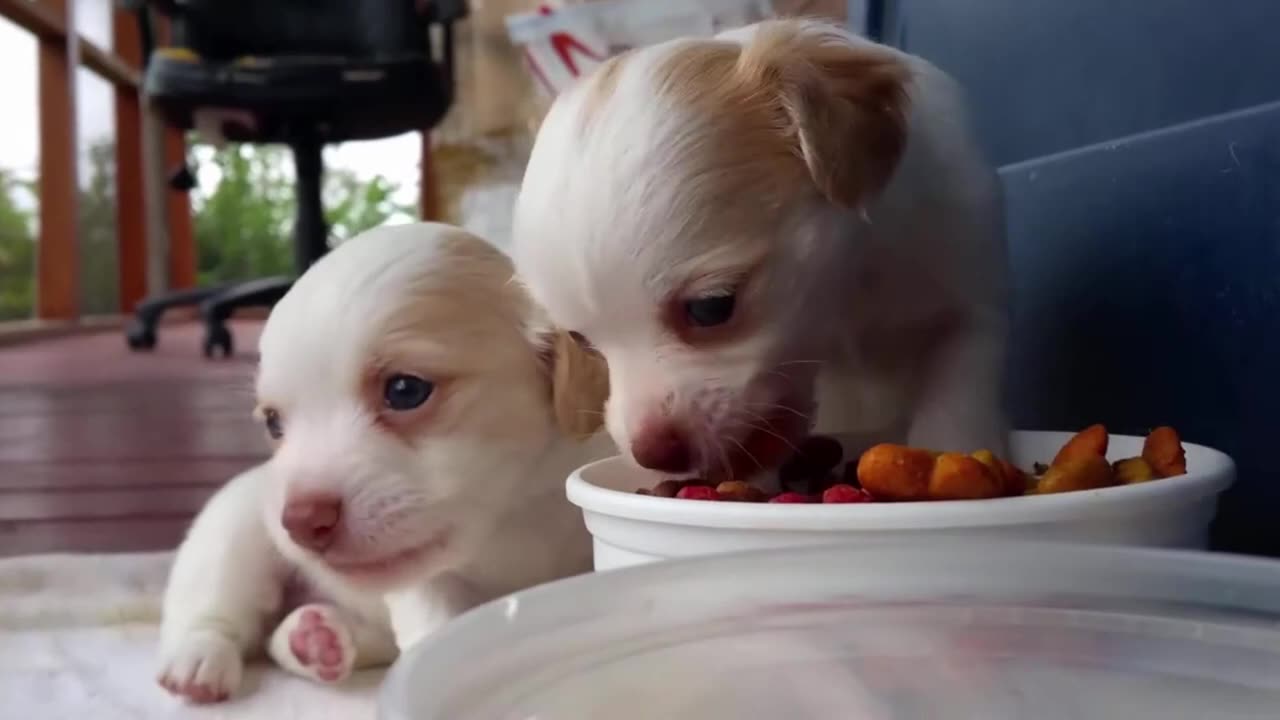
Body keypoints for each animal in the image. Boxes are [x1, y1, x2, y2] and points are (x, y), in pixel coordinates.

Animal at [152, 221, 611, 696]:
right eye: (275, 424)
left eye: (405, 390)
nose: (301, 521)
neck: (515, 515)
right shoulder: (430, 585)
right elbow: (435, 635)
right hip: (231, 534)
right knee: (214, 613)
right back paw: (199, 659)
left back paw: (317, 638)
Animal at [512, 16, 1008, 479]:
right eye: (582, 341)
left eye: (711, 308)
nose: (653, 454)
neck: (850, 302)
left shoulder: (968, 310)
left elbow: (955, 411)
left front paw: (951, 464)